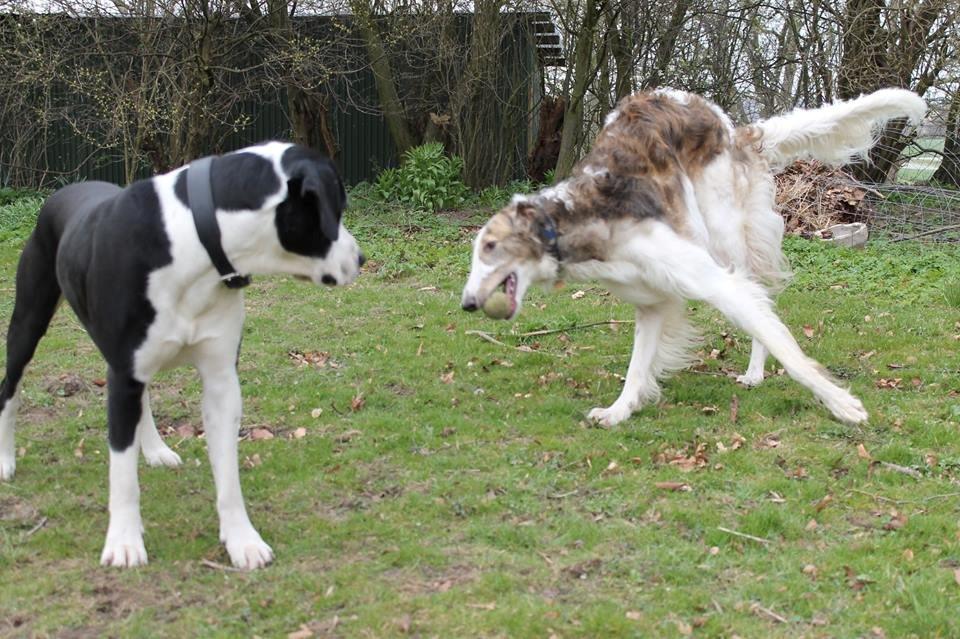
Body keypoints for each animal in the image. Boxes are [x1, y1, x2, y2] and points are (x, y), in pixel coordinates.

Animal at [0, 141, 364, 568]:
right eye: (336, 209)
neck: (194, 243)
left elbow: (228, 474)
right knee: (10, 388)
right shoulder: (124, 373)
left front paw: (241, 539)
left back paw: (155, 449)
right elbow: (122, 472)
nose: (360, 258)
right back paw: (6, 459)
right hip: (28, 325)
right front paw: (124, 541)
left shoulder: (221, 380)